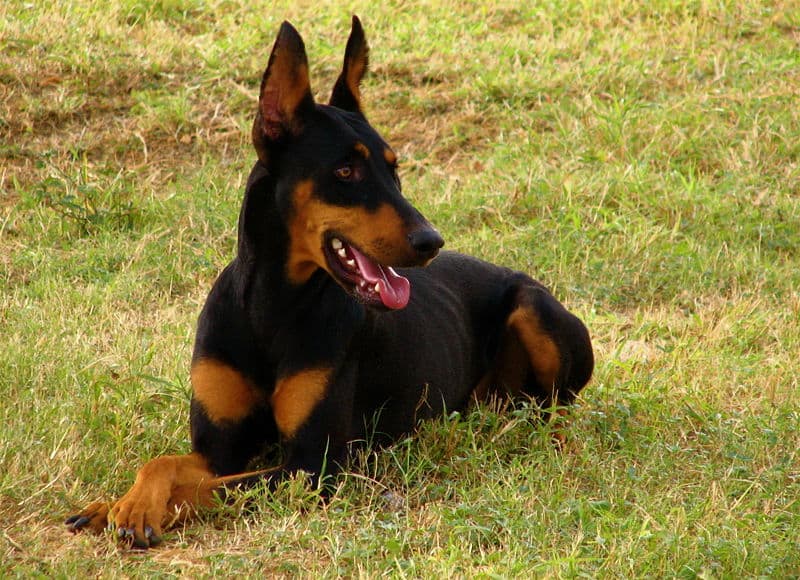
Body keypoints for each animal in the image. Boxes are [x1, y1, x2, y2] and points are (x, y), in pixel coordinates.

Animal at [65, 14, 592, 548]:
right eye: (344, 170)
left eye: (394, 168)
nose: (430, 240)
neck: (271, 307)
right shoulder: (219, 446)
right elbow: (166, 464)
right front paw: (117, 504)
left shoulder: (312, 466)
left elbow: (207, 487)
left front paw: (131, 509)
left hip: (535, 310)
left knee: (560, 409)